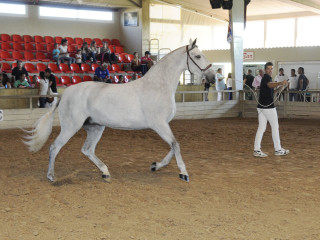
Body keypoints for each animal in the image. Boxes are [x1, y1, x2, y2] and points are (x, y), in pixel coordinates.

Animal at [23, 39, 215, 182]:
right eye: (198, 56)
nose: (212, 77)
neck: (158, 86)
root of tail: (65, 94)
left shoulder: (163, 125)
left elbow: (173, 146)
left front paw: (156, 166)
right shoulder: (159, 124)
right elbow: (175, 145)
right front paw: (184, 173)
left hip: (96, 127)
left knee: (87, 150)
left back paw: (105, 172)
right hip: (71, 127)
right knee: (55, 147)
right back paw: (51, 176)